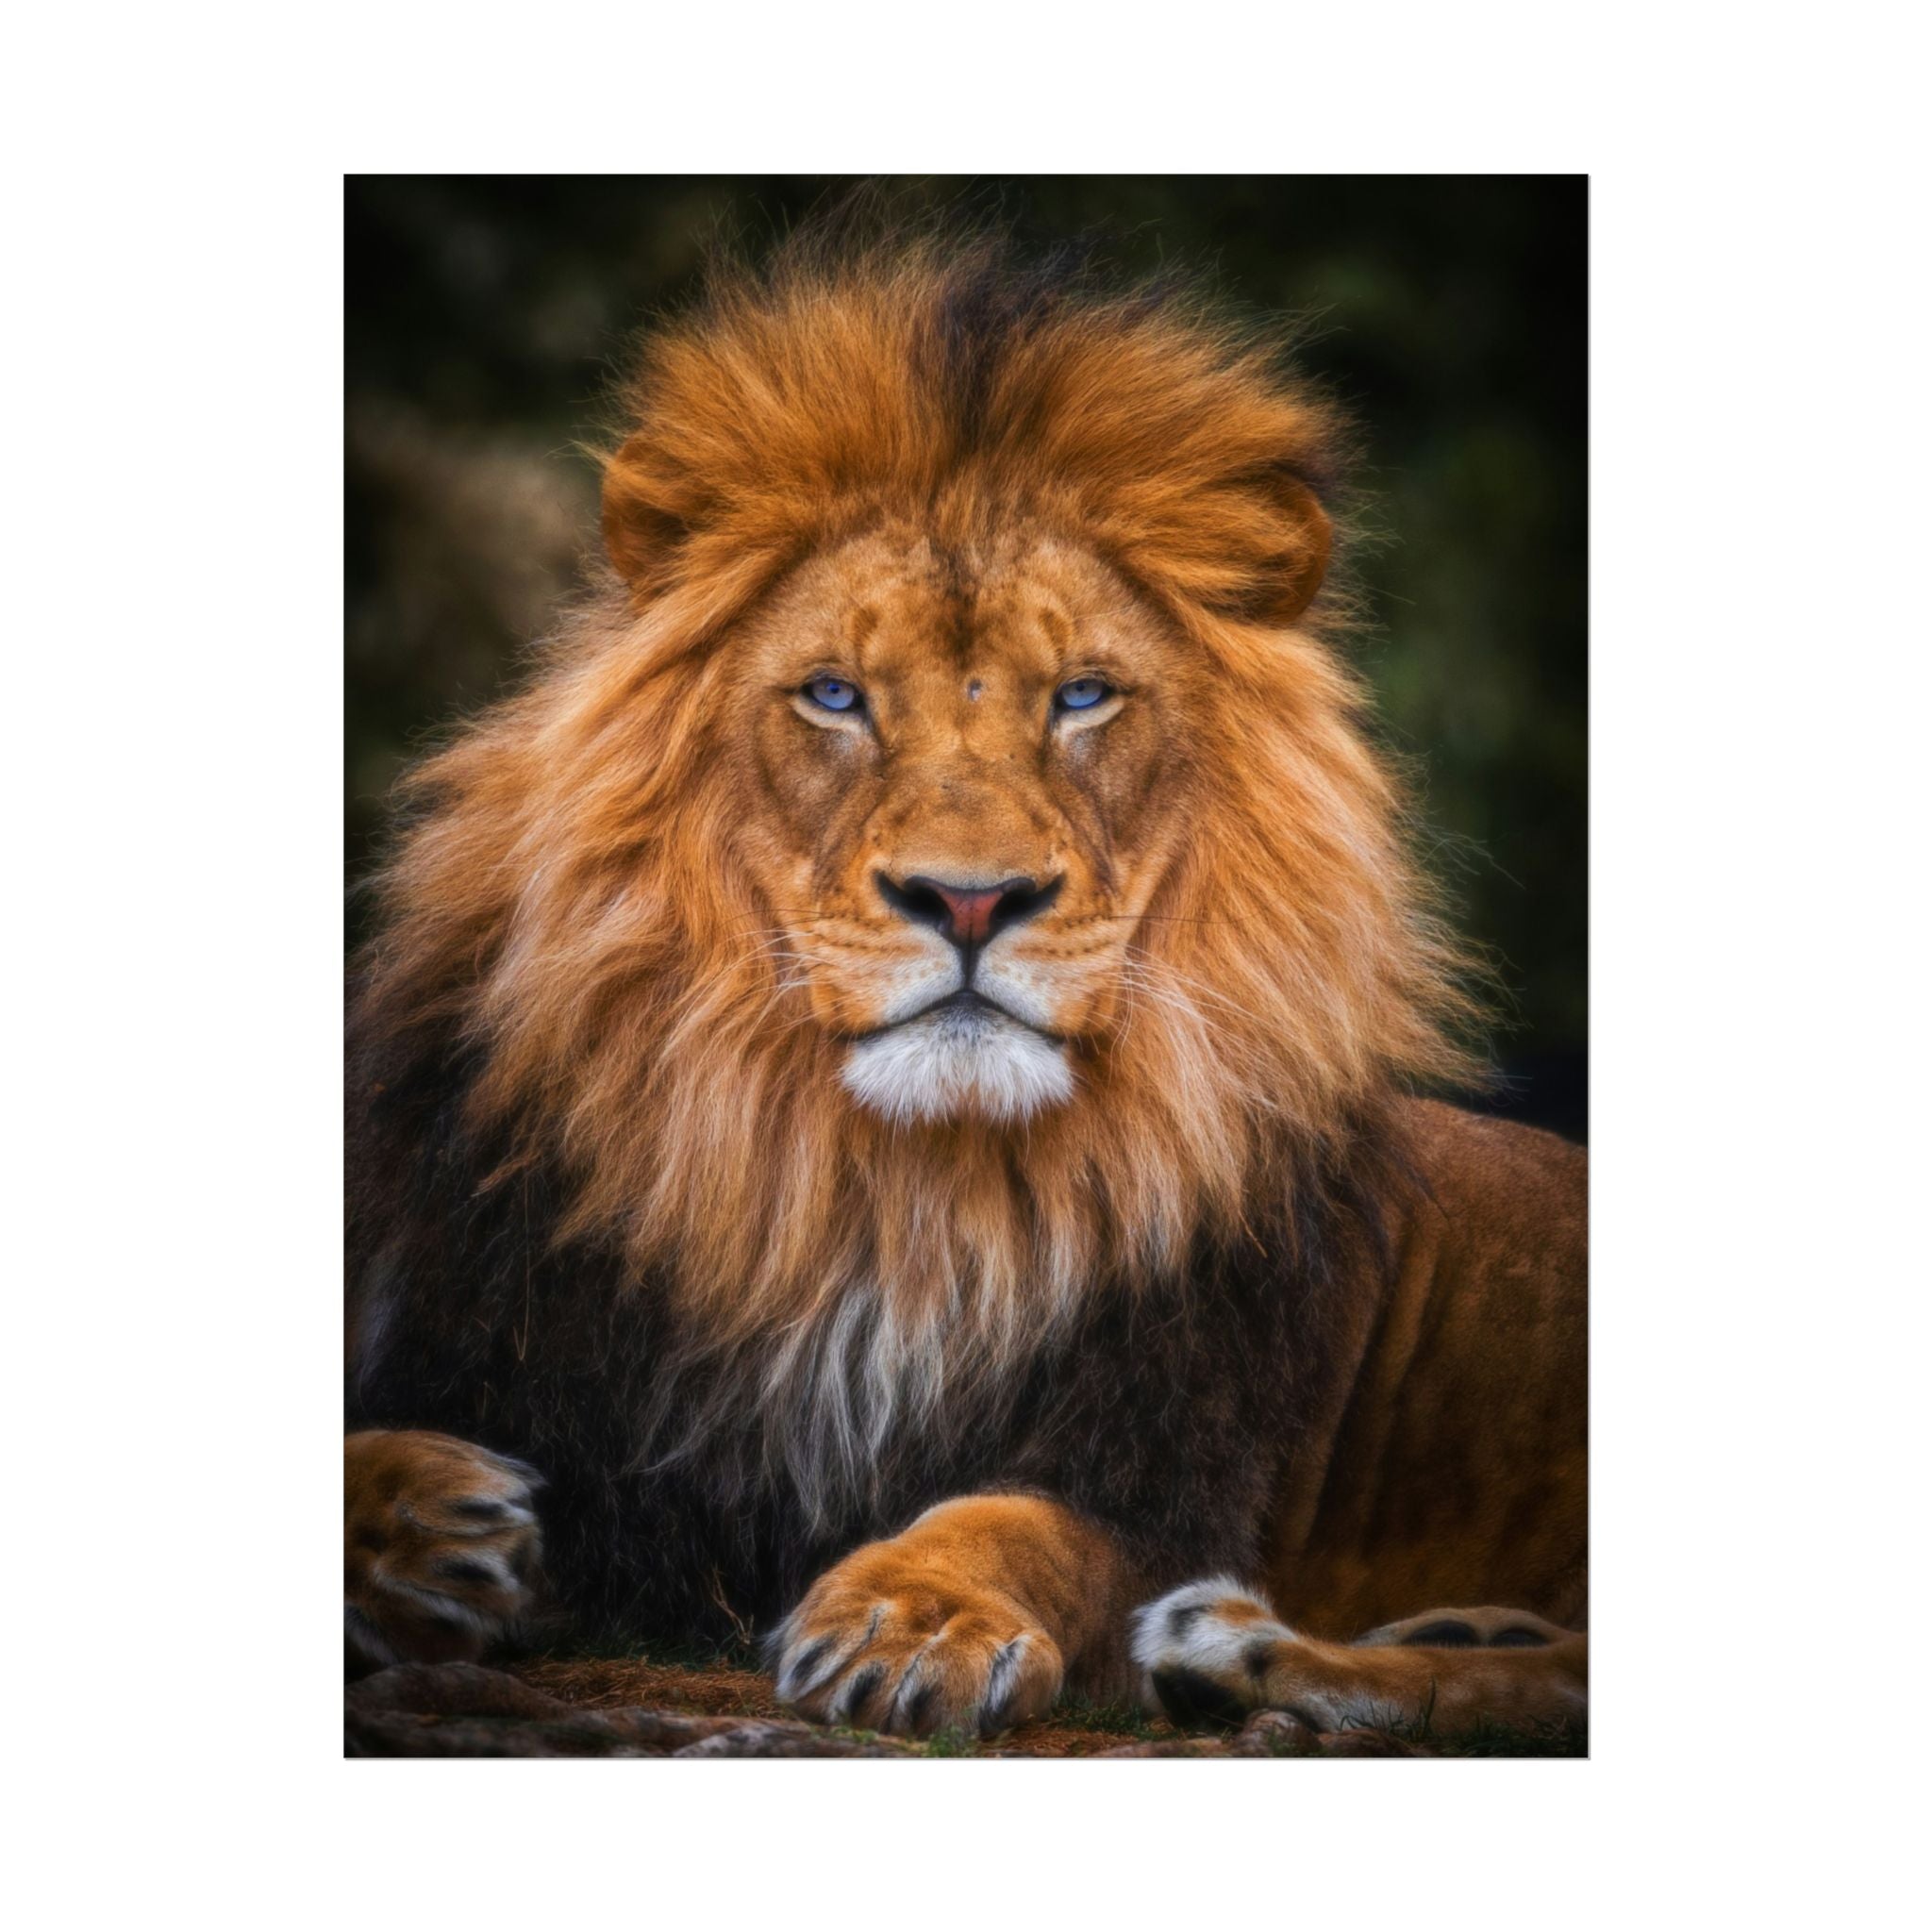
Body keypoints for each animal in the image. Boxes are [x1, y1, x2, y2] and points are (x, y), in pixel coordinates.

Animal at [345, 227, 1587, 1744]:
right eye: (833, 695)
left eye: (1083, 696)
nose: (972, 899)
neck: (885, 1197)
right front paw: (428, 1521)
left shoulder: (1166, 1469)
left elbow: (1017, 1522)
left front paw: (911, 1616)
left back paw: (1243, 1650)